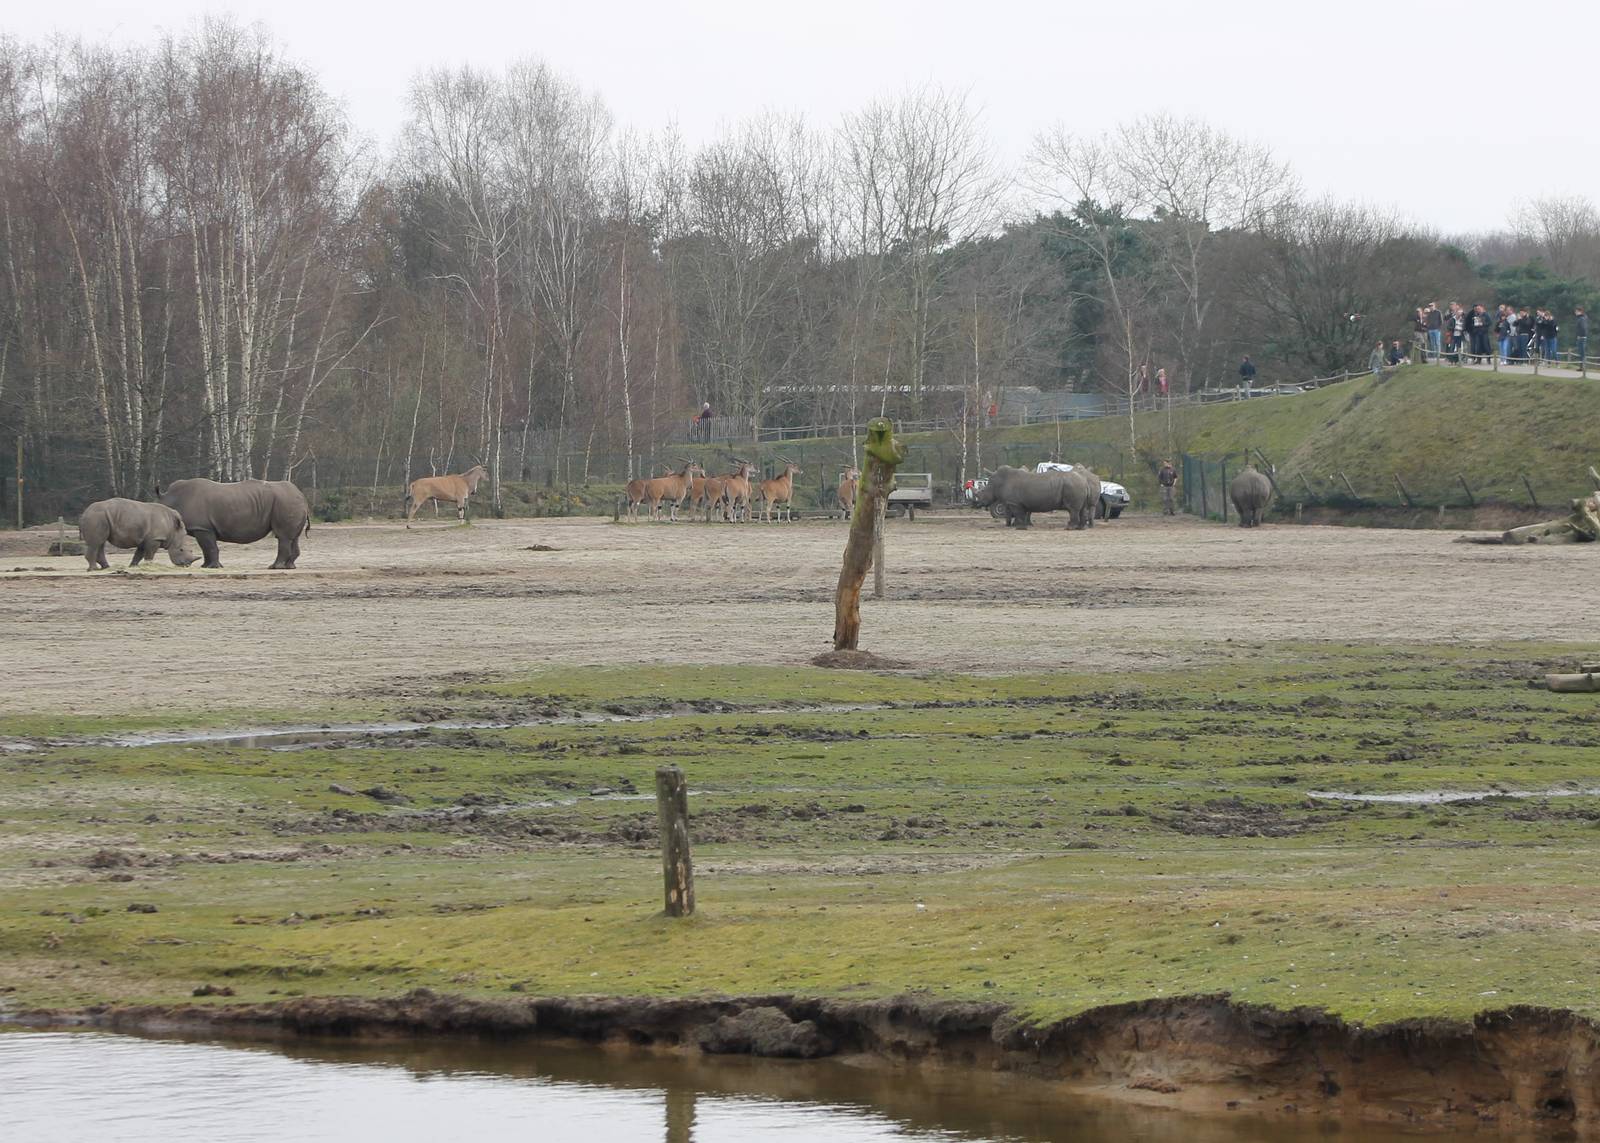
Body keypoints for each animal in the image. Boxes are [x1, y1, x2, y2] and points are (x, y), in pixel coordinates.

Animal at [158, 478, 311, 569]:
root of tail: (302, 496)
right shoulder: (203, 528)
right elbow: (207, 548)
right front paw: (205, 567)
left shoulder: (202, 528)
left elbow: (209, 547)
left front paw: (213, 567)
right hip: (291, 502)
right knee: (293, 537)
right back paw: (290, 567)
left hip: (286, 502)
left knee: (283, 536)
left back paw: (274, 567)